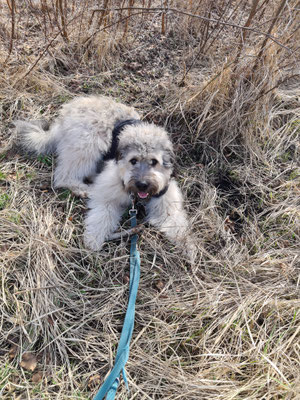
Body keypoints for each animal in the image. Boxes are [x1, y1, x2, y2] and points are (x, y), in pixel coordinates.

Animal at [14, 94, 197, 262]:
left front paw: (188, 247)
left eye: (154, 162)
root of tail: (64, 115)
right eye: (133, 160)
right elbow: (102, 216)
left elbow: (175, 223)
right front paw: (93, 241)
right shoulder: (108, 193)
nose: (142, 184)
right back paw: (83, 189)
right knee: (63, 176)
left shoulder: (165, 201)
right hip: (87, 144)